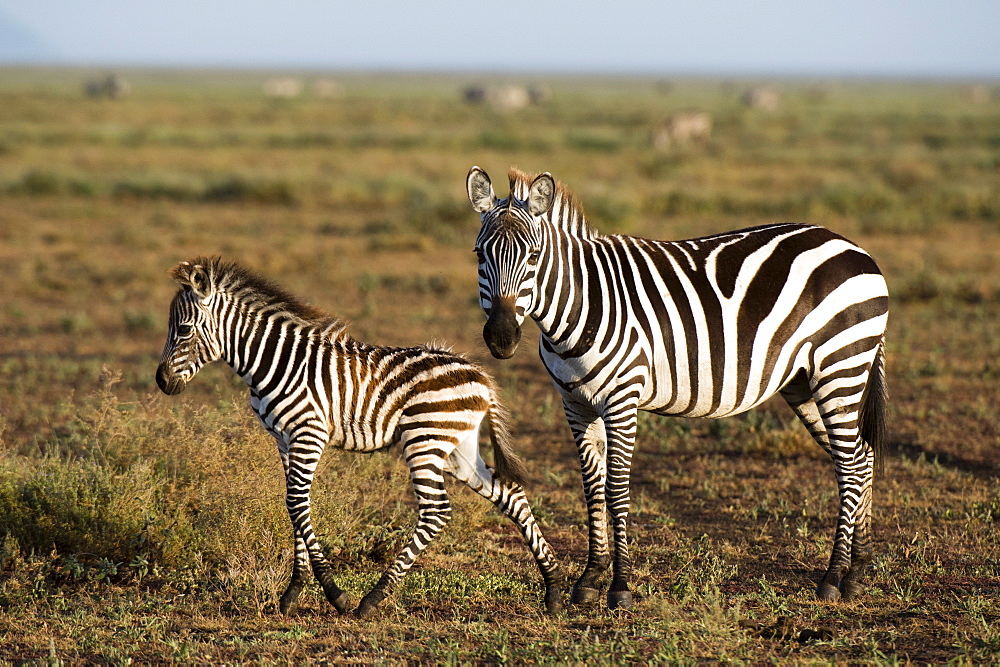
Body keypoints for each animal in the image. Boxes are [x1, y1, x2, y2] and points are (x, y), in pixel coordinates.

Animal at [156, 256, 564, 616]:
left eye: (183, 330)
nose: (161, 382)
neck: (275, 362)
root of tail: (481, 376)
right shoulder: (284, 440)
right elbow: (294, 507)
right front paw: (292, 594)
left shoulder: (308, 434)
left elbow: (297, 505)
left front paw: (334, 593)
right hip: (456, 449)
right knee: (510, 494)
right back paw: (554, 590)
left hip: (425, 440)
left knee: (436, 512)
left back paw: (373, 598)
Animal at [464, 166, 888, 612]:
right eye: (479, 255)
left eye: (533, 257)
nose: (501, 338)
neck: (579, 307)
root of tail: (853, 247)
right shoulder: (575, 404)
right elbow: (591, 488)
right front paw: (590, 578)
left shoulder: (622, 399)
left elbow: (616, 489)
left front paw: (620, 586)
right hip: (805, 381)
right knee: (861, 458)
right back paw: (857, 570)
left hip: (840, 366)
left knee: (851, 465)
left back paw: (833, 577)